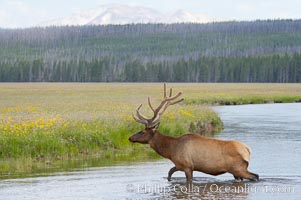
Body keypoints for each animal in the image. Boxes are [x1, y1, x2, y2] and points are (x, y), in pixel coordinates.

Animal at [128, 83, 258, 182]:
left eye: (142, 131)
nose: (130, 138)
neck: (171, 150)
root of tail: (248, 150)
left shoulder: (187, 165)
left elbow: (188, 180)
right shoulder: (179, 165)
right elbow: (169, 173)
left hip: (238, 168)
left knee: (255, 176)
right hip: (237, 171)